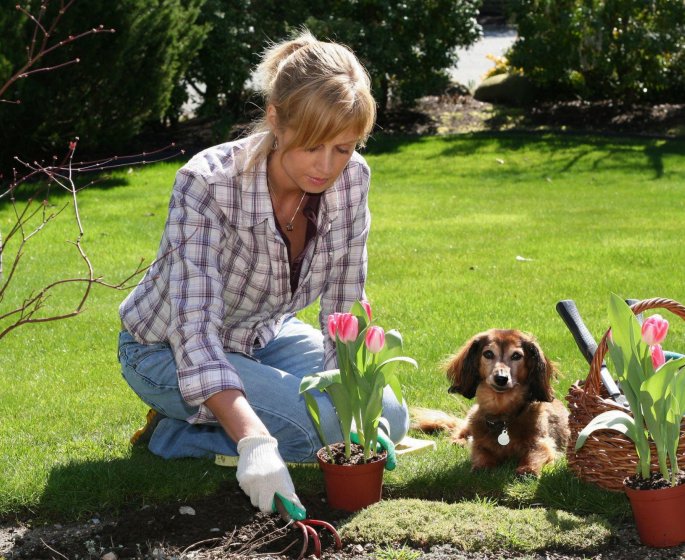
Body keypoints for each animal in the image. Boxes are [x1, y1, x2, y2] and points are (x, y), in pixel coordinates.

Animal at [414, 328, 568, 476]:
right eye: (488, 354)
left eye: (516, 356)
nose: (501, 378)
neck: (502, 414)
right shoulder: (479, 444)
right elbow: (481, 454)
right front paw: (482, 466)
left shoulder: (542, 443)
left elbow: (534, 454)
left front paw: (527, 469)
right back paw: (459, 440)